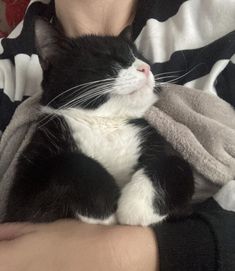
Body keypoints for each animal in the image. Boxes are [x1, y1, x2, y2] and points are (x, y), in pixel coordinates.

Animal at [4, 19, 195, 226]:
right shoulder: (20, 198)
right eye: (108, 56)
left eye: (140, 56)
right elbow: (70, 163)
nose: (146, 68)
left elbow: (178, 164)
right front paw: (105, 202)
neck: (104, 122)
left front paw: (137, 204)